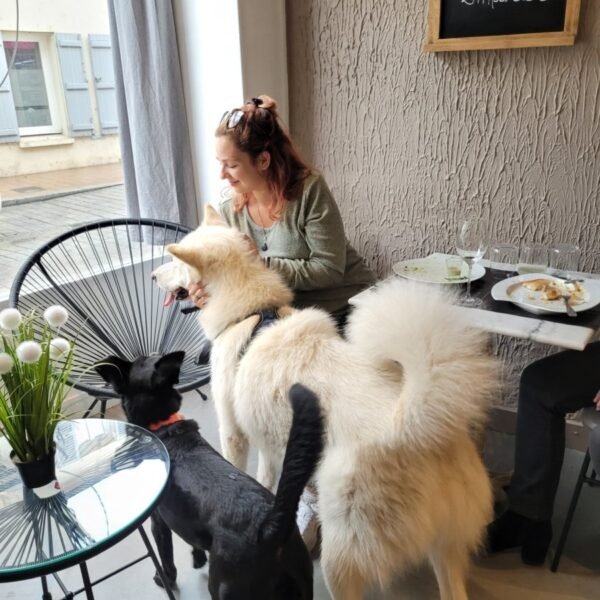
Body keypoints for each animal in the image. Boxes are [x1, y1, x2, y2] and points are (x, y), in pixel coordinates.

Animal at [95, 352, 318, 600]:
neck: (163, 424)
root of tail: (271, 527)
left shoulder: (159, 522)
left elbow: (166, 558)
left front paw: (165, 580)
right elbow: (194, 540)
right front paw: (198, 558)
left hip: (224, 588)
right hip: (302, 580)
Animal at [154, 206, 496, 600]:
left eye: (173, 261)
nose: (152, 274)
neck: (253, 312)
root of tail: (415, 428)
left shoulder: (234, 433)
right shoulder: (270, 443)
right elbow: (265, 479)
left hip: (341, 554)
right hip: (447, 550)